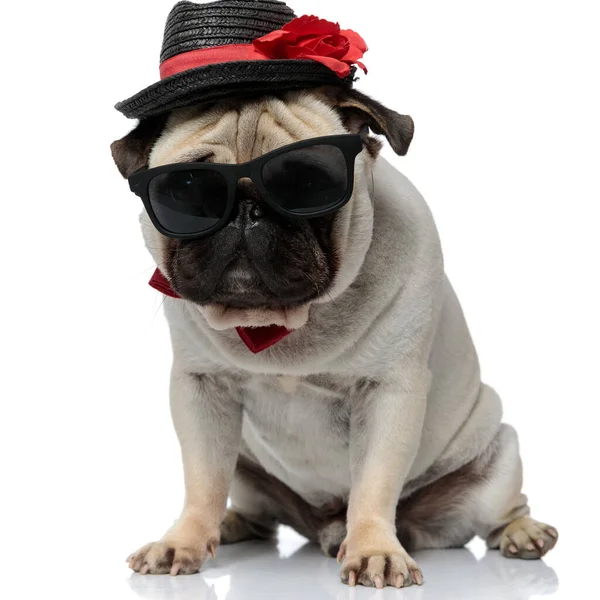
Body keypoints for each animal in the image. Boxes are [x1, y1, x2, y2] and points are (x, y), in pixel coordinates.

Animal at [111, 86, 556, 588]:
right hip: (245, 466)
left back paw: (523, 533)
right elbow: (203, 479)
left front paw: (375, 550)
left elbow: (375, 482)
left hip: (499, 456)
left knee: (501, 512)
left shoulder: (389, 392)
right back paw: (229, 524)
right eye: (187, 191)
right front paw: (182, 541)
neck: (280, 324)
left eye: (307, 184)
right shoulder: (201, 388)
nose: (248, 209)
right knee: (254, 510)